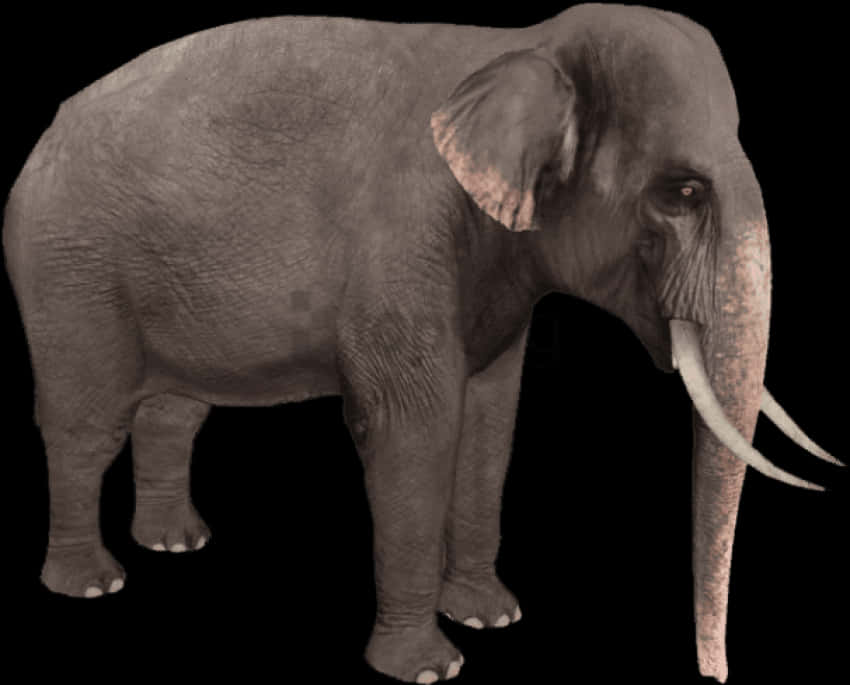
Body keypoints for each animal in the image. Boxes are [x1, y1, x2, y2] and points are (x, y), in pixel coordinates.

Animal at [2, 2, 841, 682]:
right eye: (683, 193)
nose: (713, 674)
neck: (520, 45)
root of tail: (44, 137)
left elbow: (490, 427)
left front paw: (493, 615)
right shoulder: (406, 238)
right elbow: (416, 430)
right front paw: (432, 668)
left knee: (174, 410)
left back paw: (177, 543)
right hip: (69, 272)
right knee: (85, 422)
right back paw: (94, 581)